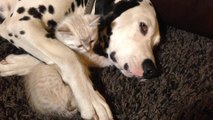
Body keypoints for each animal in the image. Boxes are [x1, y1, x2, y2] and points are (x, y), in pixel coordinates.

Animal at [0, 0, 160, 119]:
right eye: (143, 27)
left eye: (156, 44)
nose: (151, 71)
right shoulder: (19, 25)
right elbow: (69, 56)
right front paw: (91, 101)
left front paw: (15, 64)